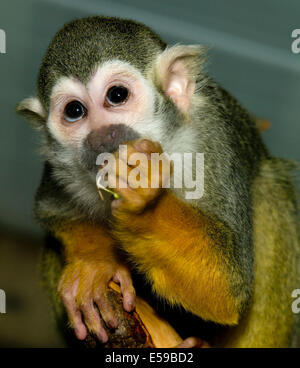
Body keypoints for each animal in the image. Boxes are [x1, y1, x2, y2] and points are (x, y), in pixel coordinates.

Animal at [17, 15, 300, 348]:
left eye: (117, 95)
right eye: (74, 111)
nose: (101, 136)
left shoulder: (214, 135)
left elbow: (227, 286)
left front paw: (144, 206)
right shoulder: (59, 166)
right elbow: (53, 212)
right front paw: (96, 264)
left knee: (271, 191)